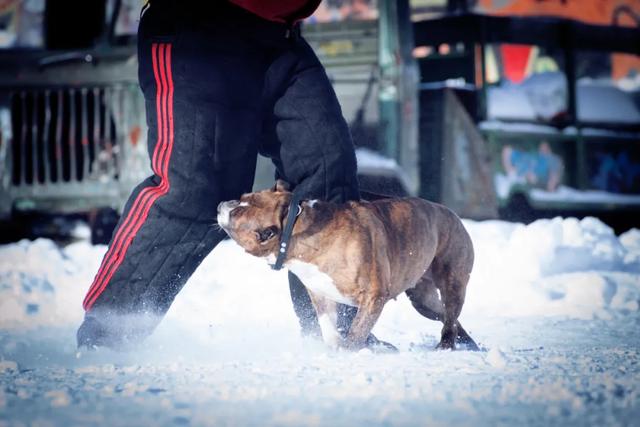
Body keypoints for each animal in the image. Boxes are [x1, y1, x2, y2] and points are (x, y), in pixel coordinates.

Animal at [218, 181, 478, 352]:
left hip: (452, 281)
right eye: (240, 198)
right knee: (447, 316)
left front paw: (349, 350)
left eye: (238, 212)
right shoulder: (321, 294)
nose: (221, 203)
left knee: (451, 313)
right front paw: (333, 347)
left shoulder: (373, 296)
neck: (296, 227)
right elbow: (327, 325)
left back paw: (446, 344)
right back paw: (466, 342)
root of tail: (451, 213)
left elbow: (357, 329)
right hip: (423, 300)